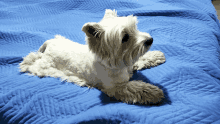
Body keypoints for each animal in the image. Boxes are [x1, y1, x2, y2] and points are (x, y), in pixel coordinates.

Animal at [18, 9, 166, 103]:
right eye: (125, 37)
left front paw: (156, 55)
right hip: (43, 65)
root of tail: (49, 43)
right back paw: (25, 63)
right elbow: (137, 87)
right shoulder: (115, 87)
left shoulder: (128, 62)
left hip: (60, 38)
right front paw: (154, 92)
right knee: (32, 60)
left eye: (135, 28)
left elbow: (140, 59)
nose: (150, 40)